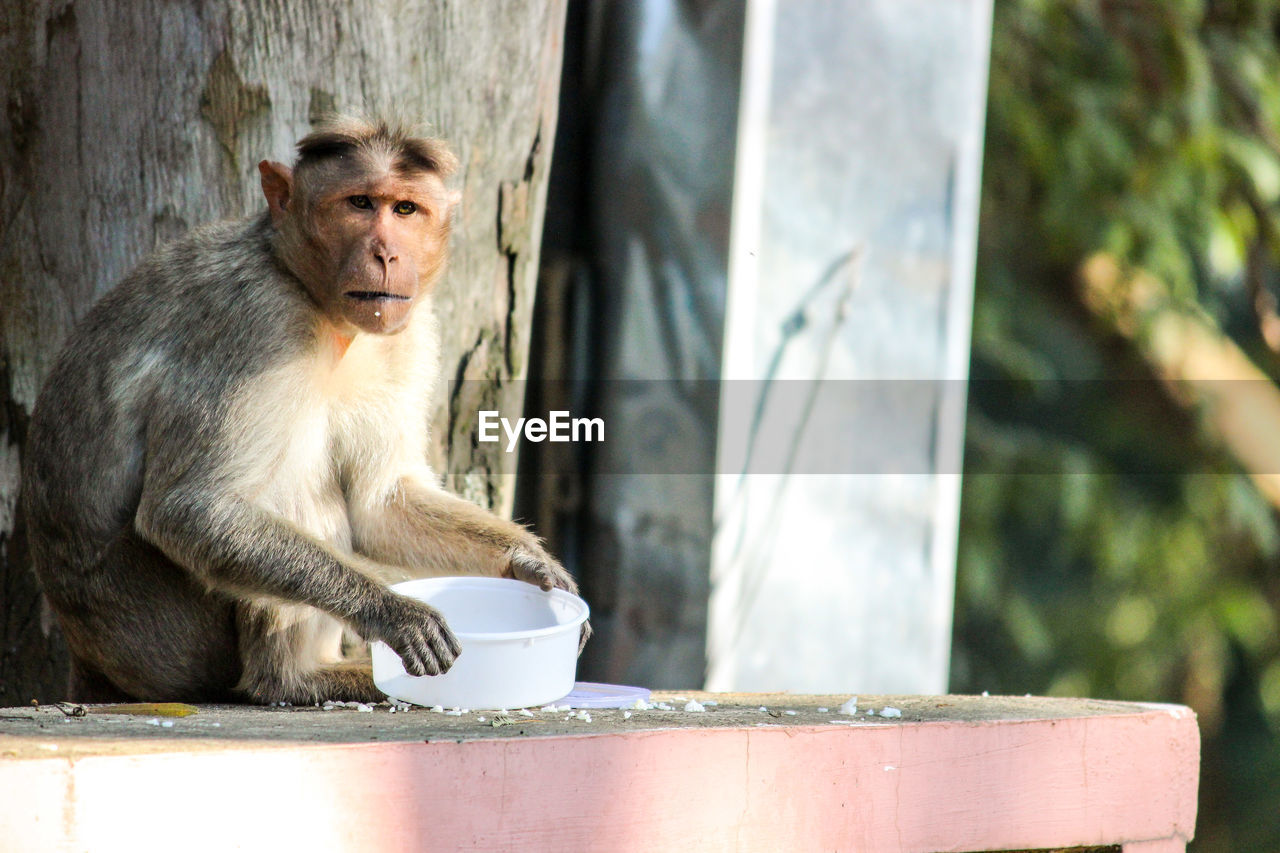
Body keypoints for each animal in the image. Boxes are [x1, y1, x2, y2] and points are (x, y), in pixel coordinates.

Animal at [20, 117, 583, 701]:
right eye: (360, 203)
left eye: (405, 209)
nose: (386, 254)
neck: (314, 297)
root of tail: (90, 657)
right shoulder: (258, 322)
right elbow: (191, 508)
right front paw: (392, 611)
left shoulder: (408, 330)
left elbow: (381, 502)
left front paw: (530, 561)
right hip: (160, 639)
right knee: (287, 482)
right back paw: (295, 678)